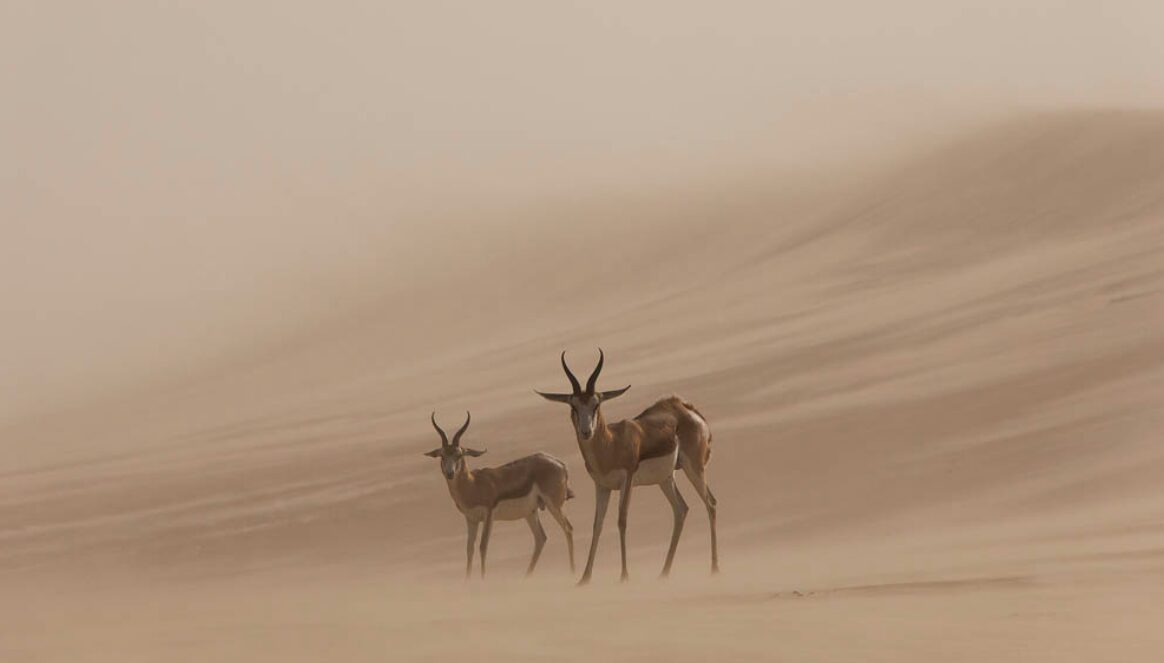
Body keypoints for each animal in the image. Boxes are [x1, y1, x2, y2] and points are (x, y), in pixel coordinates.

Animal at [423, 411, 576, 578]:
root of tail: (560, 463)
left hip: (553, 505)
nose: (450, 473)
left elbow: (483, 546)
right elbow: (469, 549)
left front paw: (483, 579)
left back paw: (572, 572)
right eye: (442, 455)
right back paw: (526, 577)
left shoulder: (488, 516)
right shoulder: (471, 519)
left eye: (459, 454)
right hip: (530, 512)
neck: (473, 485)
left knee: (568, 529)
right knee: (541, 538)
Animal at [536, 349, 718, 584]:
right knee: (681, 509)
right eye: (573, 405)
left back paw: (714, 568)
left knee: (710, 504)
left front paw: (624, 575)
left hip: (694, 468)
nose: (586, 432)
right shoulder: (602, 486)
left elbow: (621, 520)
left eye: (596, 404)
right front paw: (584, 578)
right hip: (666, 478)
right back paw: (664, 572)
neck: (610, 446)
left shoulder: (627, 481)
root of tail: (685, 408)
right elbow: (597, 524)